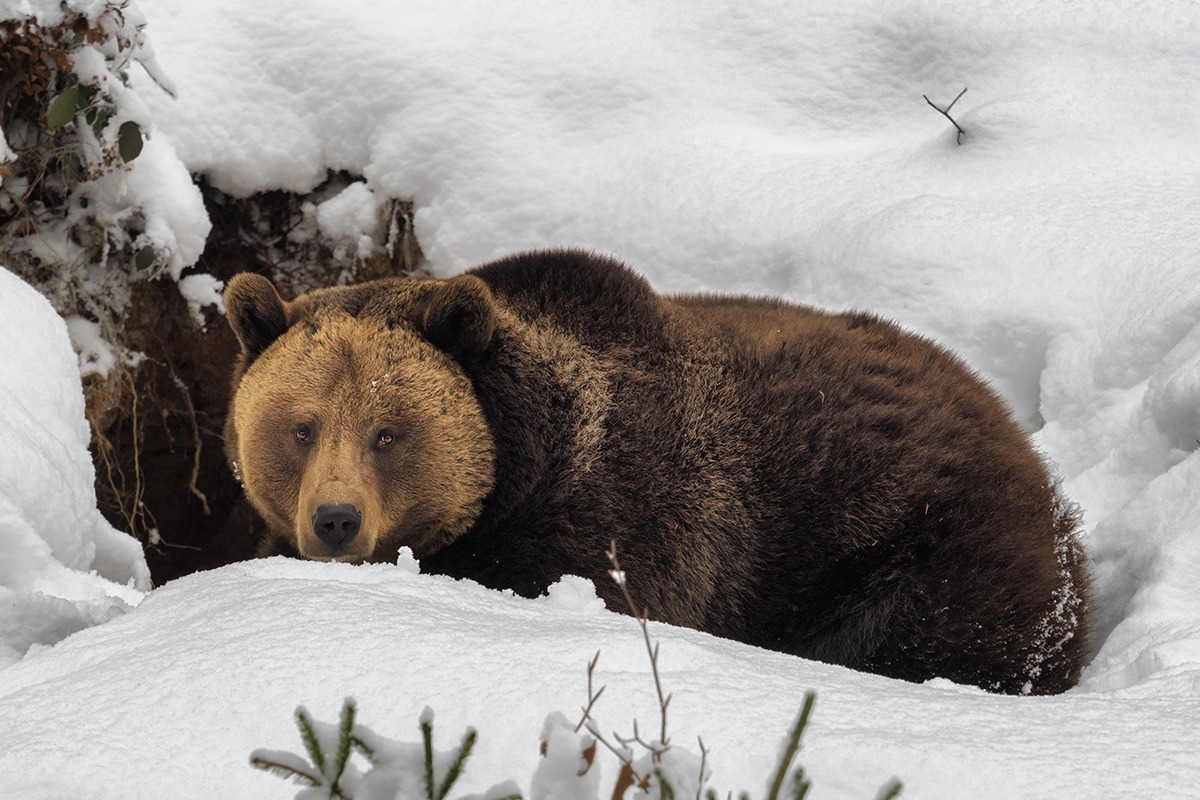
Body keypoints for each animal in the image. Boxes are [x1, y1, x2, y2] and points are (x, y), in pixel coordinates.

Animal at [223, 249, 1091, 695]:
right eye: (301, 427)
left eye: (388, 433)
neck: (518, 470)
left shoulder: (626, 520)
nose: (337, 521)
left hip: (918, 537)